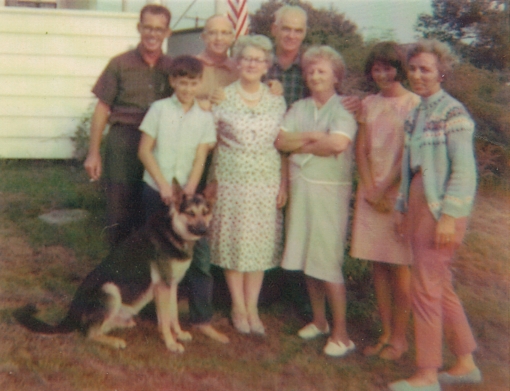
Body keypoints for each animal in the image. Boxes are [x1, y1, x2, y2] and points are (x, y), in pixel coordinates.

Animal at [15, 181, 215, 356]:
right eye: (190, 213)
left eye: (205, 213)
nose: (204, 231)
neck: (173, 231)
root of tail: (72, 312)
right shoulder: (163, 287)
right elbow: (165, 320)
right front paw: (171, 344)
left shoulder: (171, 285)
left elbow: (173, 315)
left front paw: (179, 334)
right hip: (110, 290)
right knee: (89, 333)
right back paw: (114, 341)